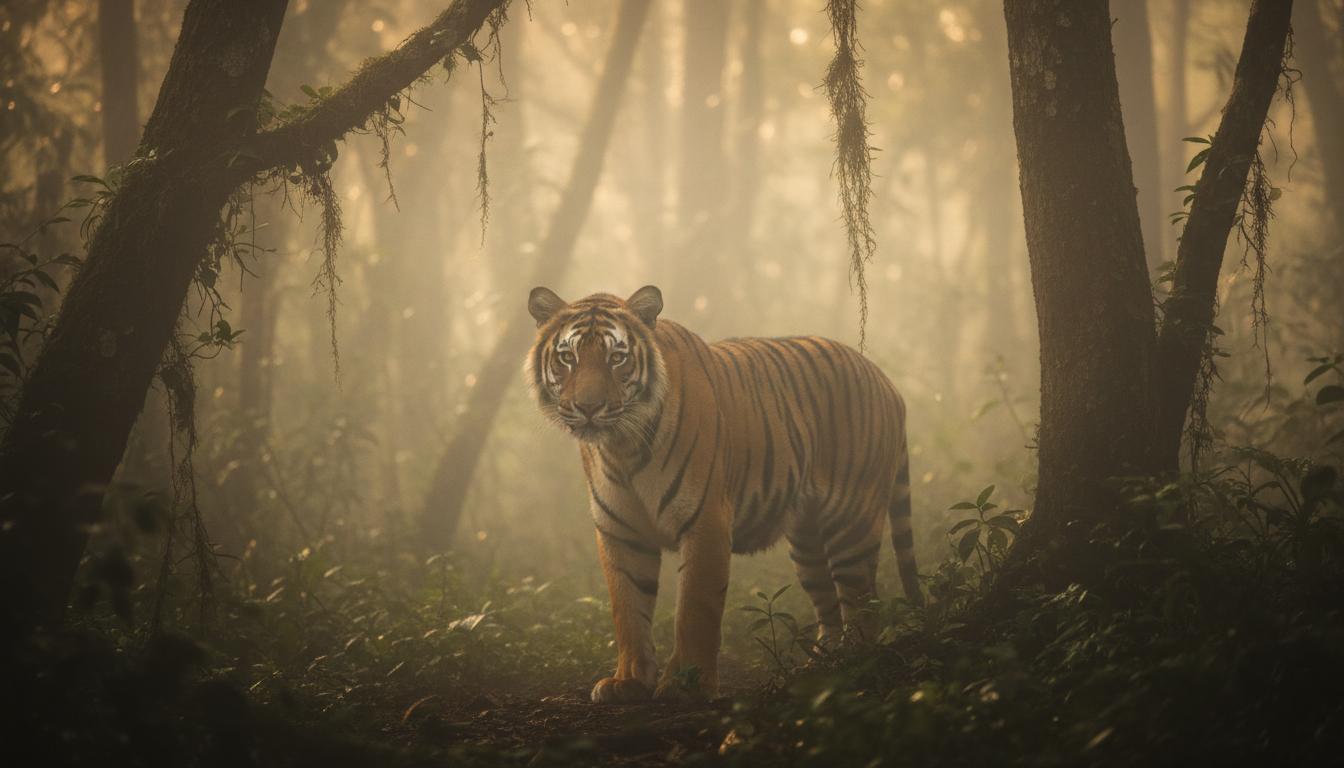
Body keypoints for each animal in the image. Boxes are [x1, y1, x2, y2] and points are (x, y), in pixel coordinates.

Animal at [526, 285, 922, 703]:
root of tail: (887, 383)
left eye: (616, 358)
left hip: (852, 524)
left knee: (863, 604)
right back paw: (822, 667)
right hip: (807, 539)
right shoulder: (620, 531)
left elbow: (696, 608)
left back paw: (853, 665)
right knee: (828, 603)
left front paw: (686, 683)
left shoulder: (706, 521)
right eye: (568, 358)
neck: (622, 447)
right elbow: (628, 607)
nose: (588, 407)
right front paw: (628, 681)